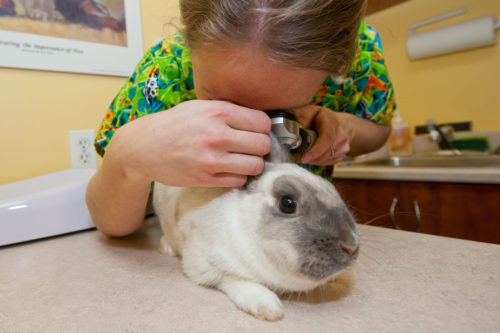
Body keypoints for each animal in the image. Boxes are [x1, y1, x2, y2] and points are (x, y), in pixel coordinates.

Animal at [153, 133, 360, 322]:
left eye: (332, 188)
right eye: (288, 204)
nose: (351, 247)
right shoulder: (203, 262)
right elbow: (233, 279)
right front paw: (269, 307)